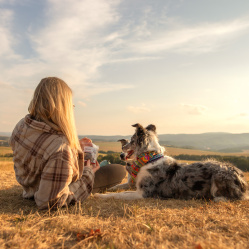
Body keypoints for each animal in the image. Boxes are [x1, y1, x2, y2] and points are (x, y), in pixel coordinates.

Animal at [94, 123, 248, 201]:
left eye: (131, 140)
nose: (121, 151)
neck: (149, 158)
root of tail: (240, 176)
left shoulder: (144, 194)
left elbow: (119, 194)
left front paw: (100, 195)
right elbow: (121, 190)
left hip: (219, 174)